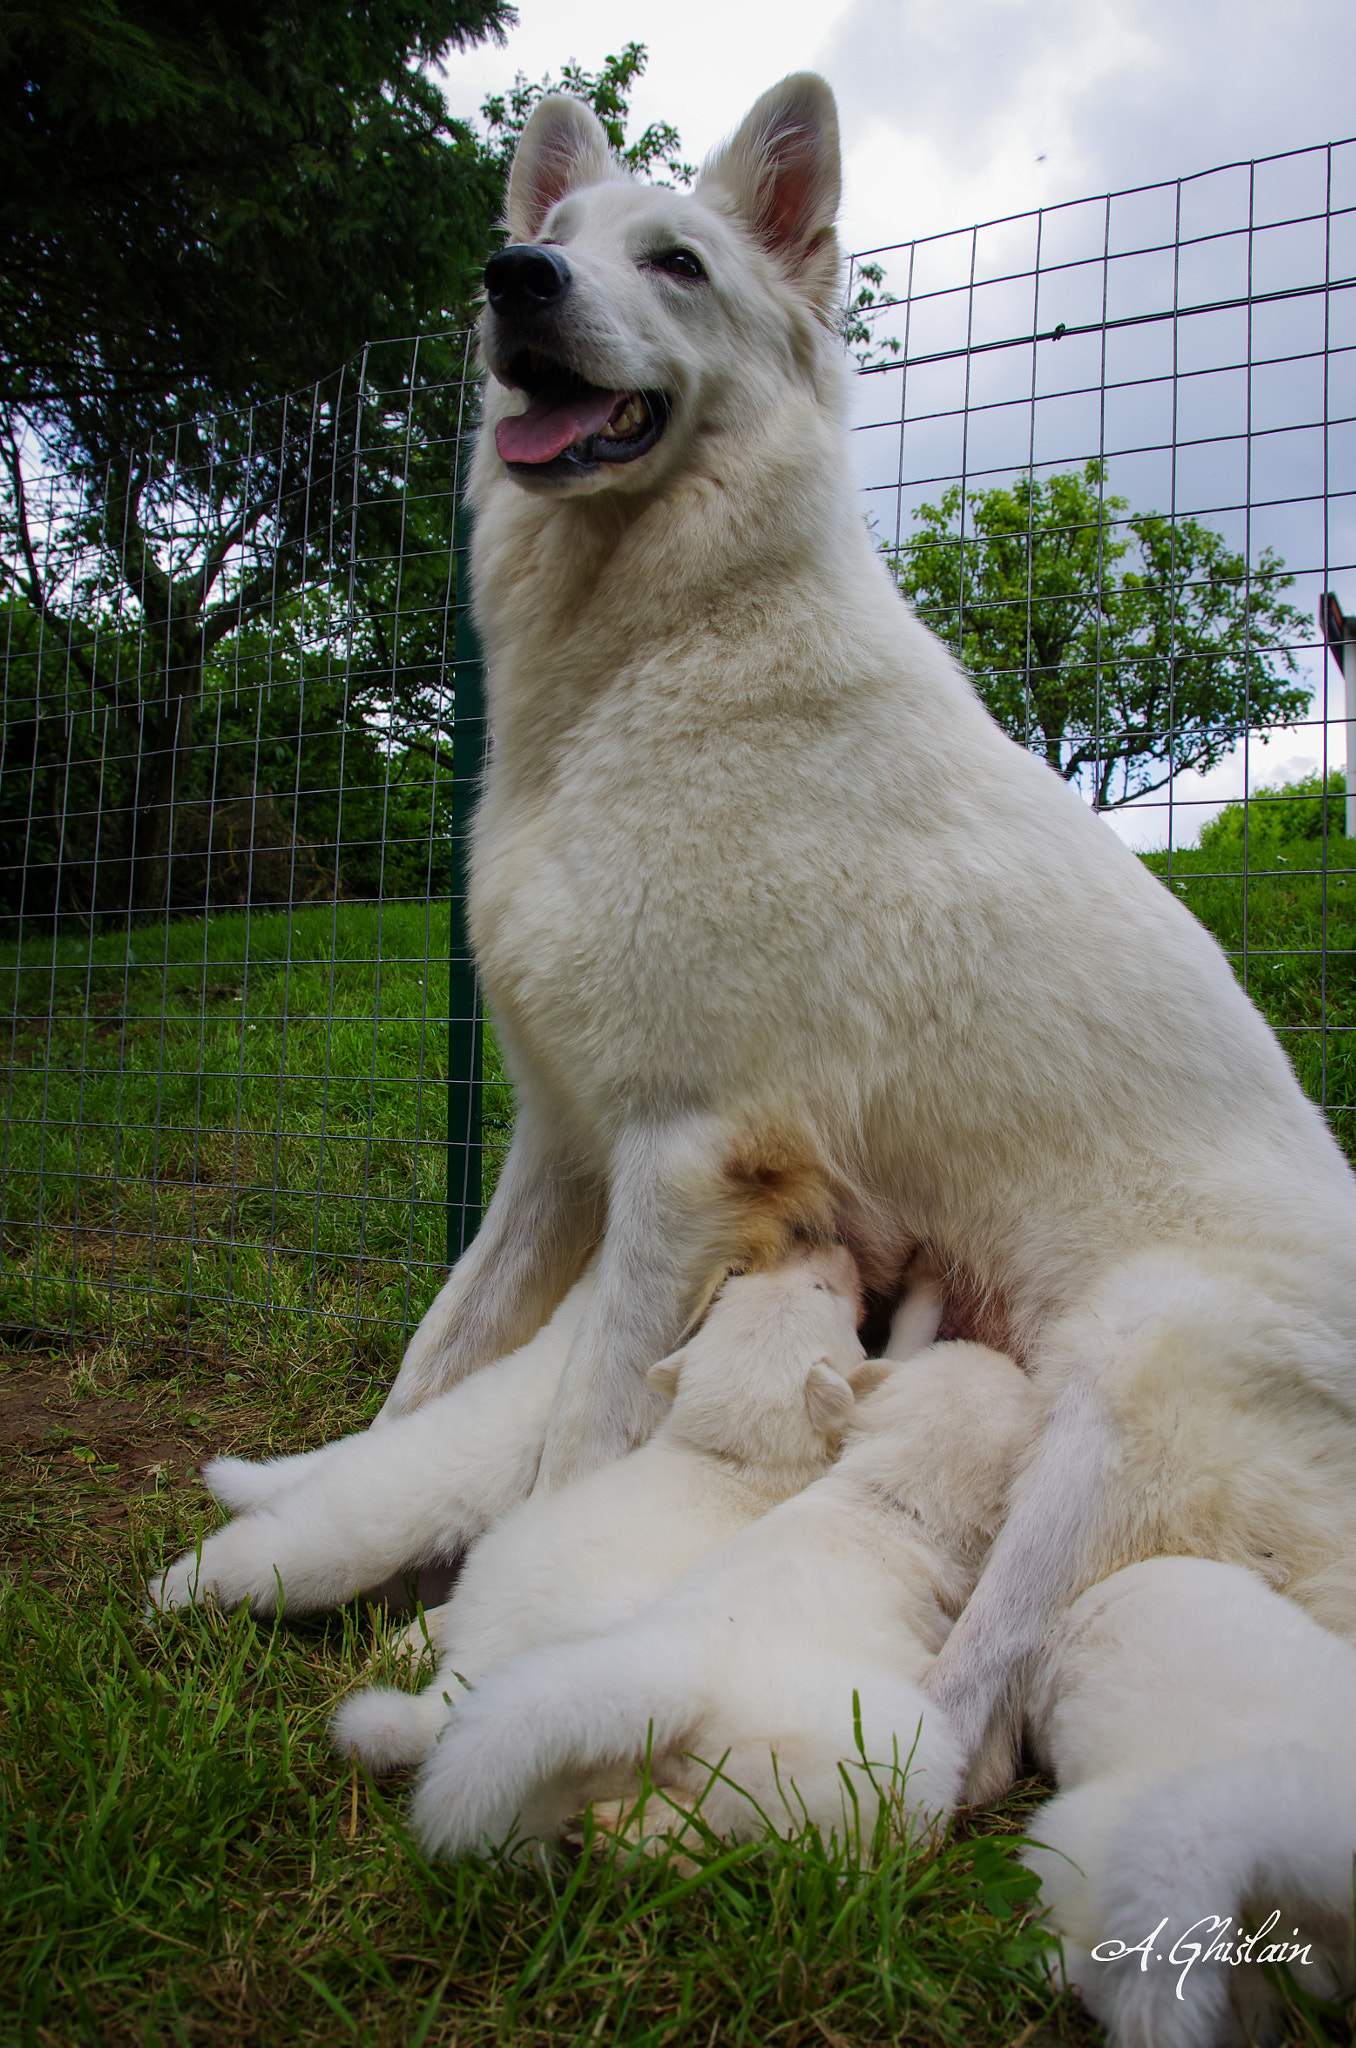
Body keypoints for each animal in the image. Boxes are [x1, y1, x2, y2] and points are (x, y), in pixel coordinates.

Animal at [376, 75, 1356, 1777]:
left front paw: (465, 1630)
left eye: (677, 263)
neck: (645, 660)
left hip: (1120, 1381)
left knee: (972, 1731)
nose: (516, 284)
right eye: (555, 239)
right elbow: (430, 1359)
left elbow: (580, 1434)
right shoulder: (557, 1145)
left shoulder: (681, 1159)